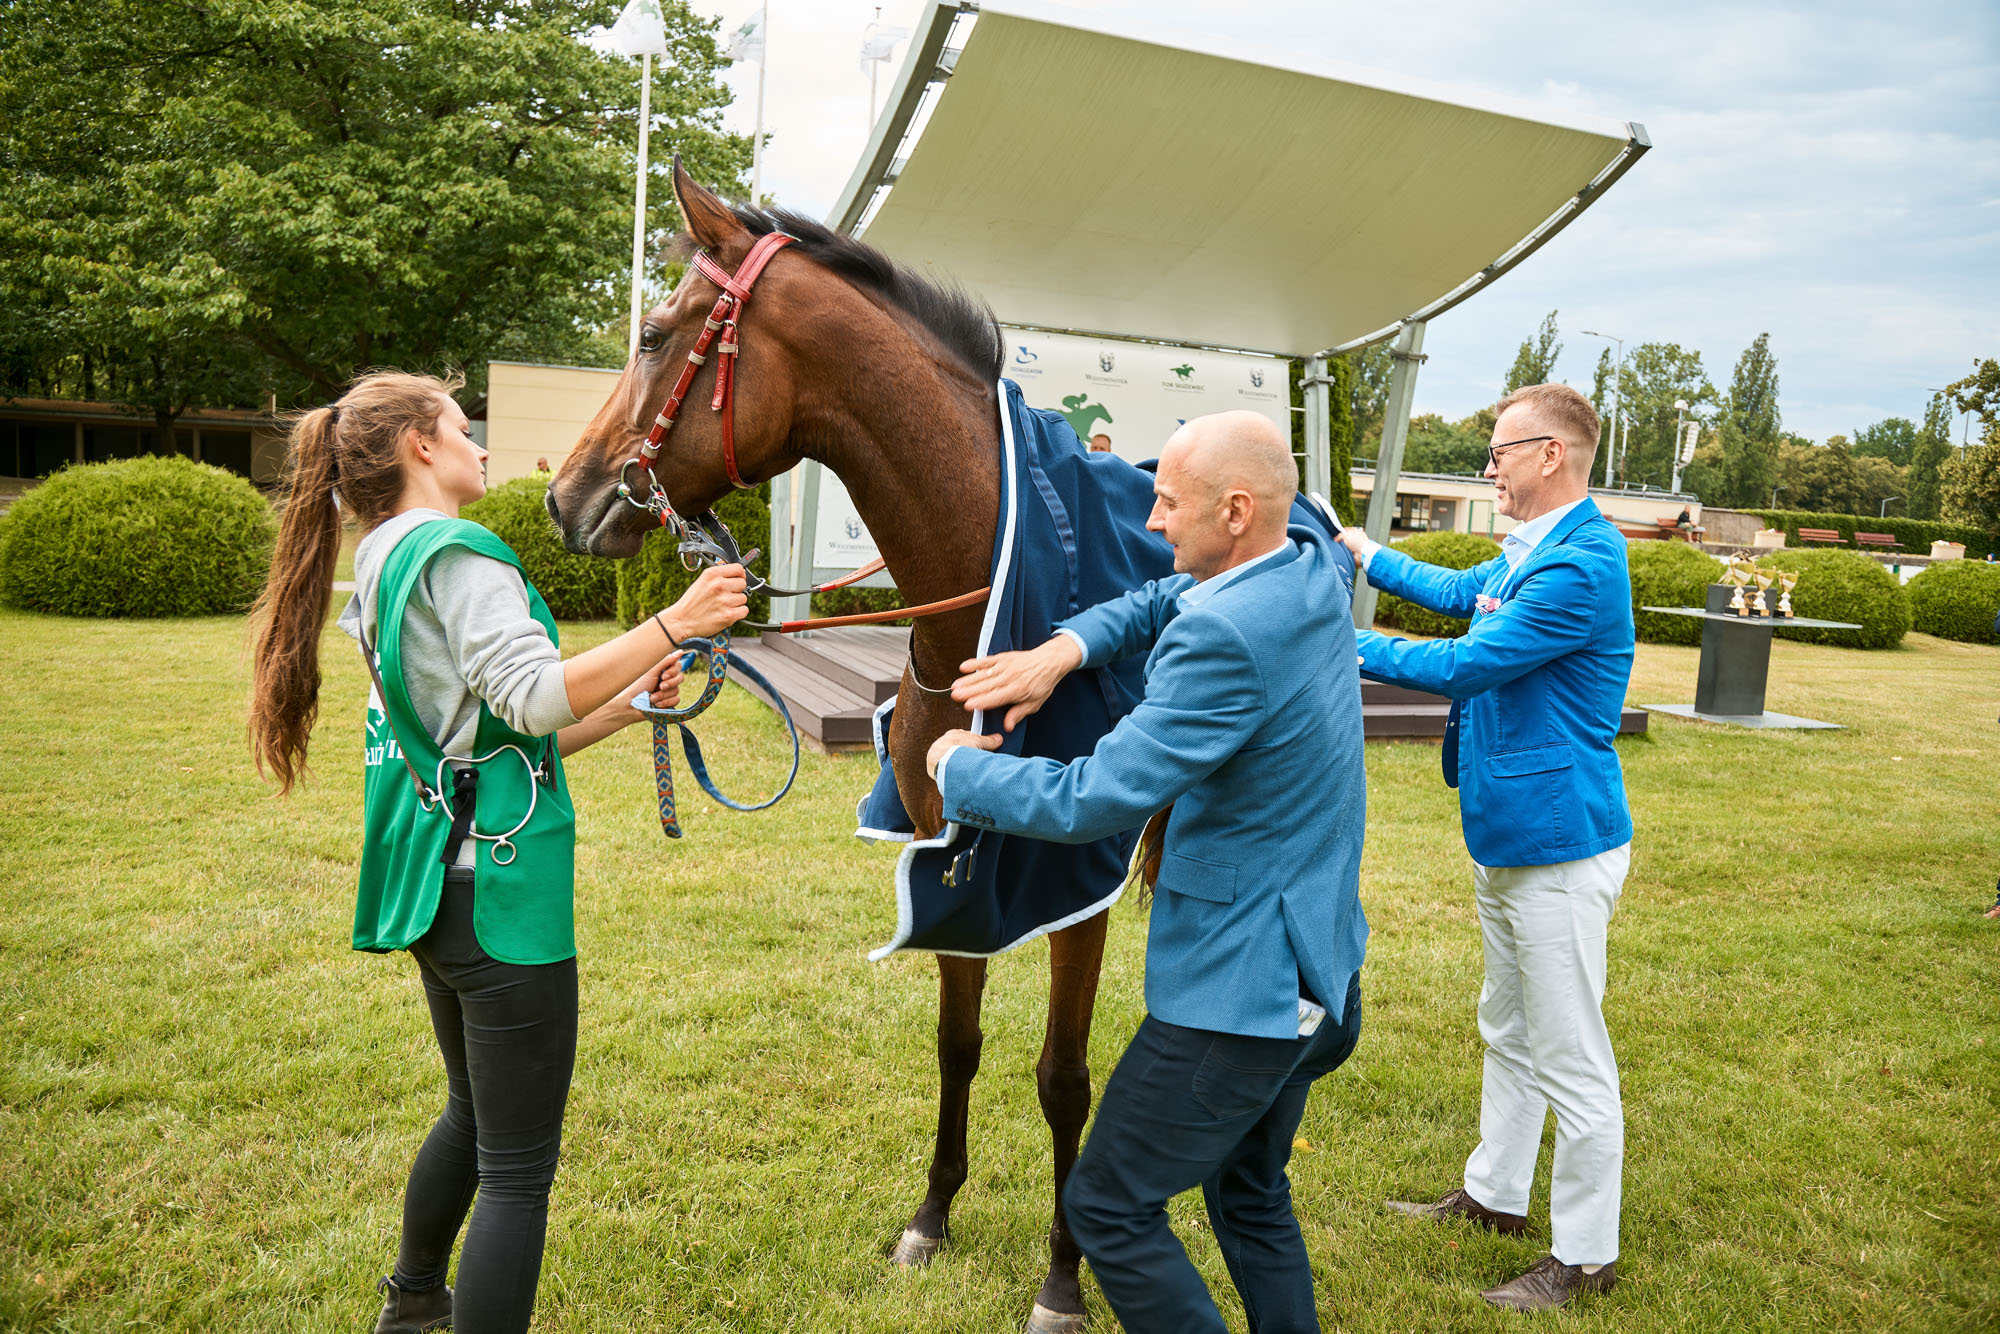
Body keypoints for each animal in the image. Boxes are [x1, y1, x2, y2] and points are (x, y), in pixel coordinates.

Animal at [540, 162, 1120, 1328]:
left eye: (655, 333)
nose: (561, 497)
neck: (992, 616)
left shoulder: (1080, 882)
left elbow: (1061, 1073)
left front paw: (1062, 1274)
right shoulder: (949, 848)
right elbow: (958, 1046)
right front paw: (931, 1218)